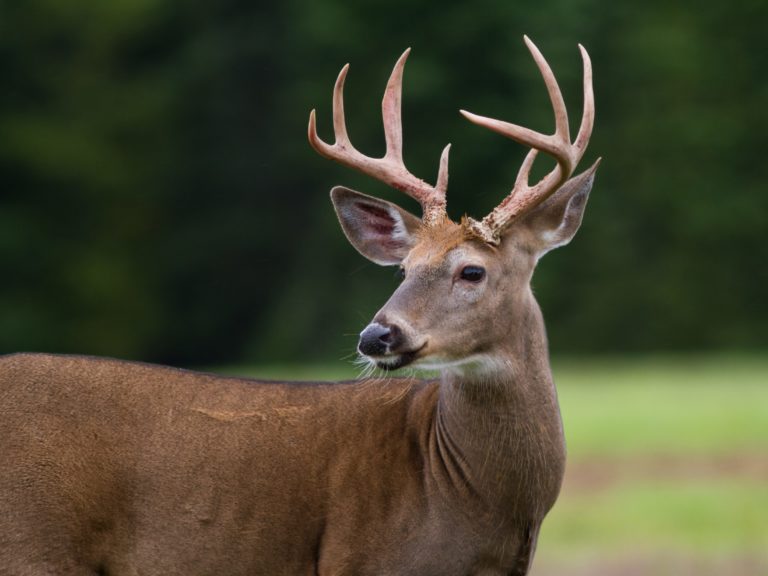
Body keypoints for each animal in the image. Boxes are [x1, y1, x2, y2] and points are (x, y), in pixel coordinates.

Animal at [0, 36, 597, 576]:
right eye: (403, 269)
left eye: (472, 270)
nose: (376, 336)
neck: (465, 494)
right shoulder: (362, 560)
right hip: (31, 545)